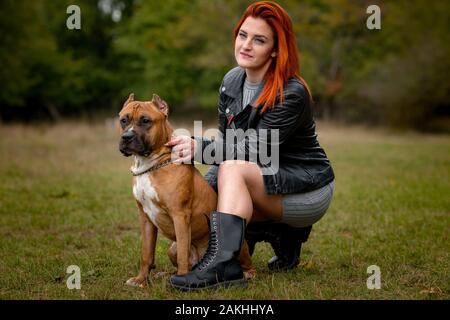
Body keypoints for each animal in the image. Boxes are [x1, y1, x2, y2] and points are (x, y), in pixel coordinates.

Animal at [118, 94, 253, 286]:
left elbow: (183, 254)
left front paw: (182, 279)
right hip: (171, 248)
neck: (151, 165)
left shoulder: (179, 215)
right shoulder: (145, 218)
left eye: (145, 120)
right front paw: (141, 280)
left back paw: (245, 274)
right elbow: (146, 253)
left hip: (239, 247)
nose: (127, 137)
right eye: (123, 120)